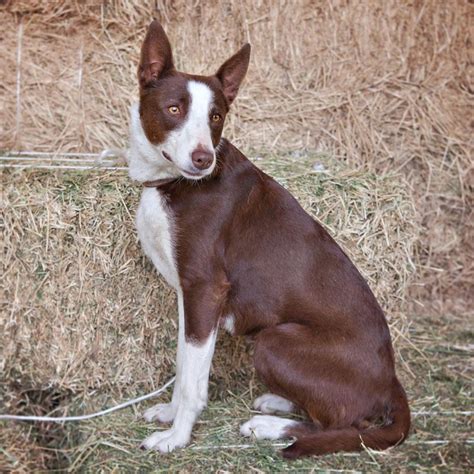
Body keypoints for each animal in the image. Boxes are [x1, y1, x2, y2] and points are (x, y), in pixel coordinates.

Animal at [128, 20, 410, 458]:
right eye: (174, 109)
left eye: (216, 116)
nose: (203, 159)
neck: (171, 184)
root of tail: (391, 380)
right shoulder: (188, 296)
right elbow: (183, 362)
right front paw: (171, 414)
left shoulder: (206, 289)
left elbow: (193, 381)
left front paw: (177, 436)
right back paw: (278, 403)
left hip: (276, 340)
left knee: (345, 424)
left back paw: (270, 427)